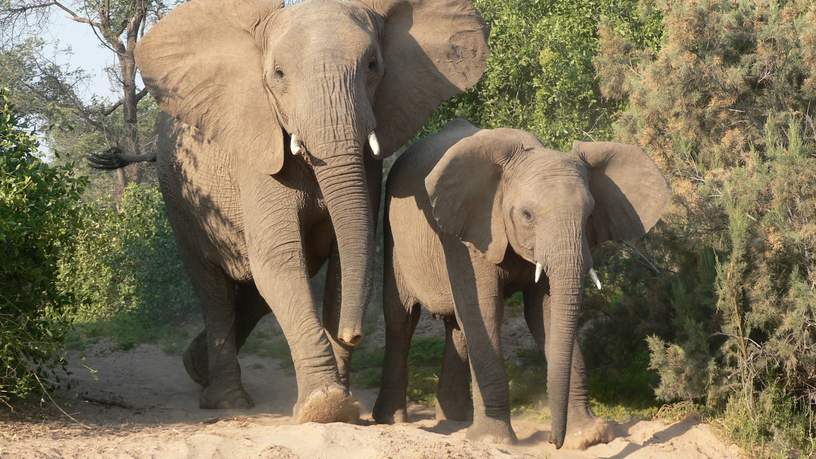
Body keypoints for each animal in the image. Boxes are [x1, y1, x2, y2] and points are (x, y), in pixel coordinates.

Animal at [98, 0, 488, 422]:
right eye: (279, 74)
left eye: (372, 66)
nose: (353, 333)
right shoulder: (256, 152)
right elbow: (280, 259)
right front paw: (325, 406)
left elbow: (339, 264)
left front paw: (342, 402)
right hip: (180, 202)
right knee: (215, 291)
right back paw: (228, 401)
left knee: (254, 293)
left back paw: (195, 367)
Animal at [372, 117, 668, 450]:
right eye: (527, 215)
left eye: (590, 214)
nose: (554, 441)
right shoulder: (470, 234)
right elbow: (485, 311)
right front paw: (492, 439)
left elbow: (546, 314)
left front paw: (589, 436)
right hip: (393, 237)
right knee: (402, 318)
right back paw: (394, 420)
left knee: (457, 327)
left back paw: (456, 420)